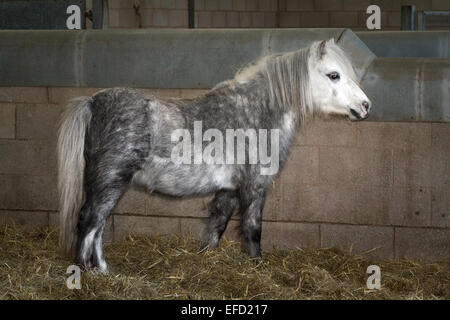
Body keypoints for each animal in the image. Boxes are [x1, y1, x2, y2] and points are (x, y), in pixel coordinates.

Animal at [58, 37, 370, 272]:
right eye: (333, 75)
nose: (365, 106)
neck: (255, 112)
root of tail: (94, 101)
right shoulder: (254, 187)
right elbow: (253, 230)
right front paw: (257, 266)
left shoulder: (229, 190)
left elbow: (216, 226)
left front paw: (206, 258)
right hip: (110, 181)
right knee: (89, 221)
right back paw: (87, 273)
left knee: (97, 227)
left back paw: (103, 270)